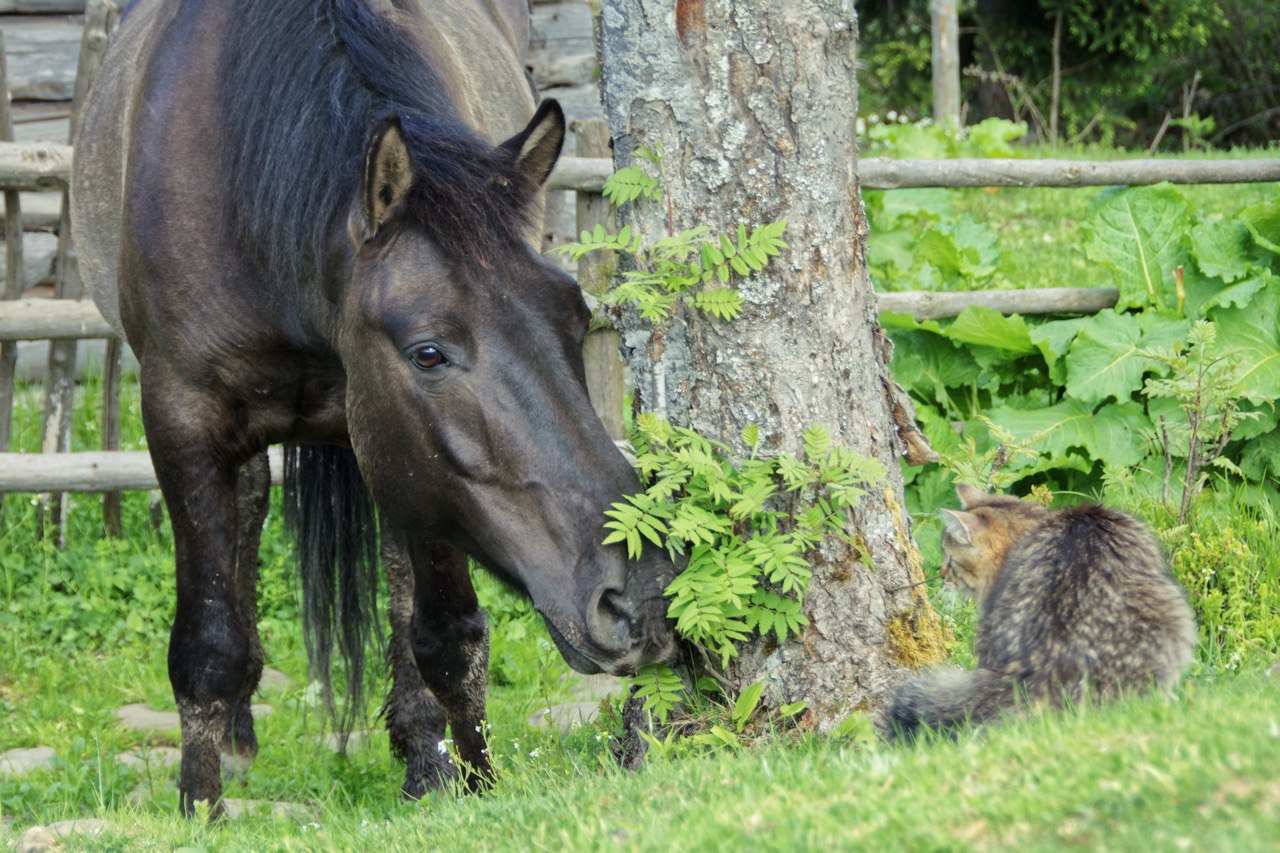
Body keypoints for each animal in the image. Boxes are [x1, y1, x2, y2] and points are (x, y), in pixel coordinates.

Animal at [71, 0, 680, 809]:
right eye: (427, 352)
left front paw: (475, 782)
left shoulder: (420, 468)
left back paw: (420, 747)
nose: (638, 596)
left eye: (577, 318)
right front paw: (200, 804)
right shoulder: (180, 419)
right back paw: (238, 732)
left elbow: (449, 635)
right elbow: (206, 642)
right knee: (251, 504)